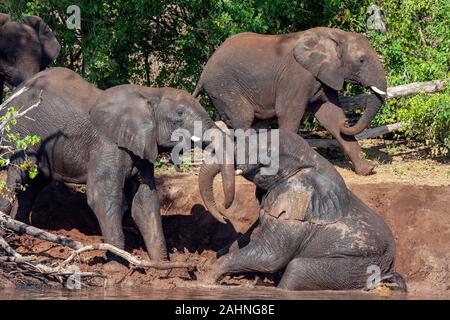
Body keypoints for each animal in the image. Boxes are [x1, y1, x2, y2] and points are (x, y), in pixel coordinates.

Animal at [0, 67, 236, 260]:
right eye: (179, 113)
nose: (224, 213)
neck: (150, 94)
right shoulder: (108, 145)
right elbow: (103, 196)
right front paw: (118, 265)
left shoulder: (142, 148)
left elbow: (145, 202)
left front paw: (161, 266)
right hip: (20, 132)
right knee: (17, 176)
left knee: (32, 184)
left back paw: (21, 230)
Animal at [195, 26, 388, 178]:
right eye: (361, 60)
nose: (348, 122)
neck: (335, 35)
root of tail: (203, 73)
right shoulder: (297, 76)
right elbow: (289, 114)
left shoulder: (325, 75)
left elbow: (330, 115)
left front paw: (368, 169)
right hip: (223, 85)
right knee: (244, 118)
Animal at [197, 129, 404, 290]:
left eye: (266, 155)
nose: (224, 213)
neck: (311, 159)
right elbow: (249, 237)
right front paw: (207, 264)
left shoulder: (296, 217)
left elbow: (269, 256)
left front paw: (206, 280)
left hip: (359, 266)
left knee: (296, 270)